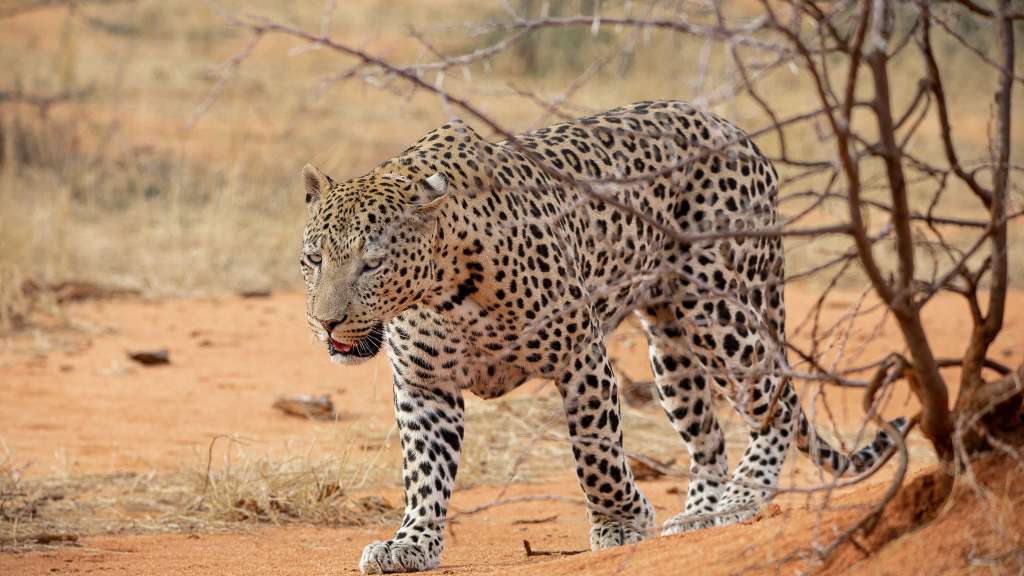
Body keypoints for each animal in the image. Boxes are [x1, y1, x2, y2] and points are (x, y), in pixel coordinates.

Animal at [297, 101, 905, 574]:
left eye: (372, 264)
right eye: (313, 259)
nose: (326, 322)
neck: (442, 289)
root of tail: (736, 131)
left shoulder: (580, 359)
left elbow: (596, 454)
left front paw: (621, 522)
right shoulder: (424, 385)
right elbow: (424, 471)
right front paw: (411, 543)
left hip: (718, 311)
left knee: (773, 398)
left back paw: (742, 499)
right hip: (670, 348)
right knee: (708, 436)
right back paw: (701, 514)